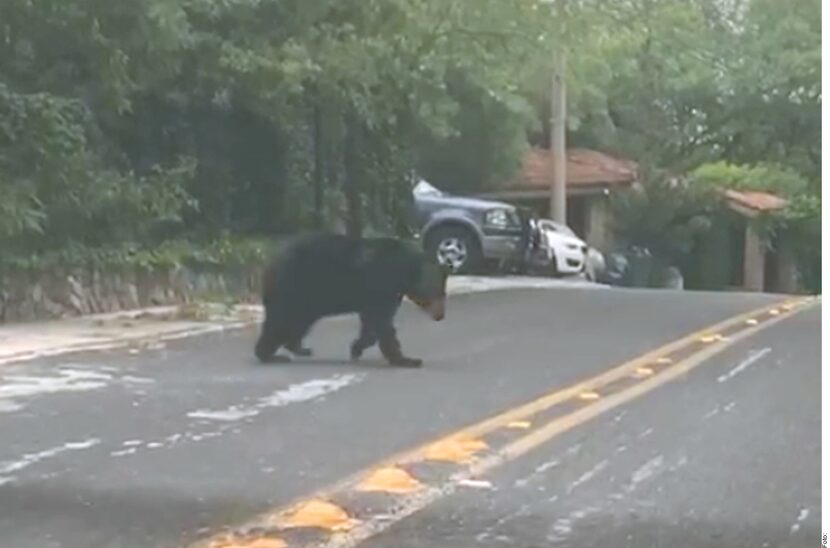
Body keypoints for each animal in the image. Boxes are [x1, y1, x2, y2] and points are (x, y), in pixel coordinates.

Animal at [255, 232, 452, 368]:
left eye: (443, 293)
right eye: (437, 293)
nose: (440, 315)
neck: (403, 270)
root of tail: (269, 262)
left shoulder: (386, 294)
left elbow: (372, 323)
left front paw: (357, 347)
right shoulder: (381, 284)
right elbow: (380, 322)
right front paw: (406, 359)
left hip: (307, 299)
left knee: (299, 322)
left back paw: (298, 347)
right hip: (294, 287)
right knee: (281, 319)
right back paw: (270, 355)